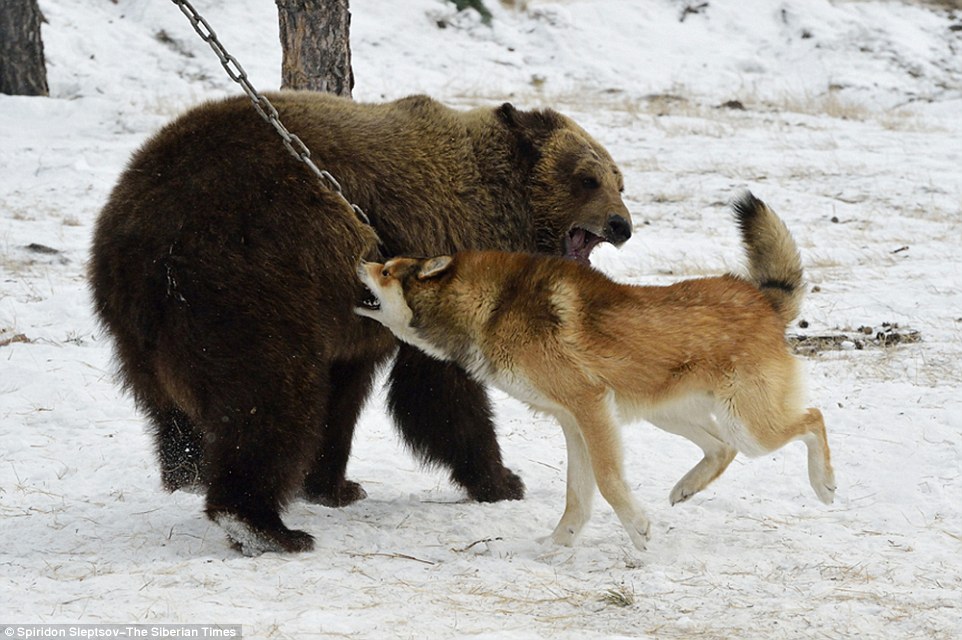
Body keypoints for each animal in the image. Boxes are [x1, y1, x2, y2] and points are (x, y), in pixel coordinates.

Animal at [88, 91, 632, 556]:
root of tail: (142, 235)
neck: (498, 209)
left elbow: (344, 393)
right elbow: (438, 393)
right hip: (244, 279)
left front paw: (335, 485)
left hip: (141, 320)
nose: (622, 225)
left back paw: (187, 471)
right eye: (587, 177)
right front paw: (502, 479)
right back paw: (263, 525)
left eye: (618, 179)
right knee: (269, 395)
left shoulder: (354, 320)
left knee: (171, 409)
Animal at [352, 191, 832, 552]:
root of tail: (762, 299)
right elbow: (578, 497)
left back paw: (824, 485)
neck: (494, 306)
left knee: (813, 418)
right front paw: (556, 546)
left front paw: (637, 530)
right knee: (721, 449)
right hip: (670, 414)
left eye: (387, 270)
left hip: (748, 425)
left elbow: (606, 481)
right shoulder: (575, 422)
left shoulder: (590, 407)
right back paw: (685, 488)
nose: (359, 259)